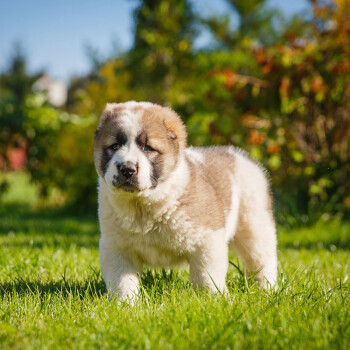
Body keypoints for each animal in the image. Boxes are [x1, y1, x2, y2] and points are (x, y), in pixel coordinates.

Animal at [94, 102, 278, 300]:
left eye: (148, 148)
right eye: (114, 146)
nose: (127, 169)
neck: (143, 206)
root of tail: (239, 154)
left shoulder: (207, 241)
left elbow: (207, 276)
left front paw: (214, 299)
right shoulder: (116, 248)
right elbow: (121, 281)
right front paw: (125, 303)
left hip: (255, 226)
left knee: (262, 260)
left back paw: (267, 290)